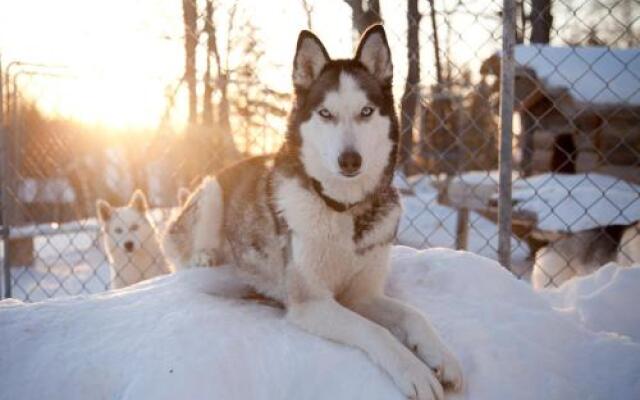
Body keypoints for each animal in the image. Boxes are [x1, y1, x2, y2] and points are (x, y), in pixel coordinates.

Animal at [165, 26, 462, 398]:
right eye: (325, 113)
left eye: (366, 111)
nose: (349, 160)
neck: (345, 210)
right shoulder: (311, 302)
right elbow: (375, 331)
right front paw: (414, 370)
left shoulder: (363, 294)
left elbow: (414, 314)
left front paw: (442, 355)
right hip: (211, 192)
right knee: (185, 252)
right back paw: (203, 257)